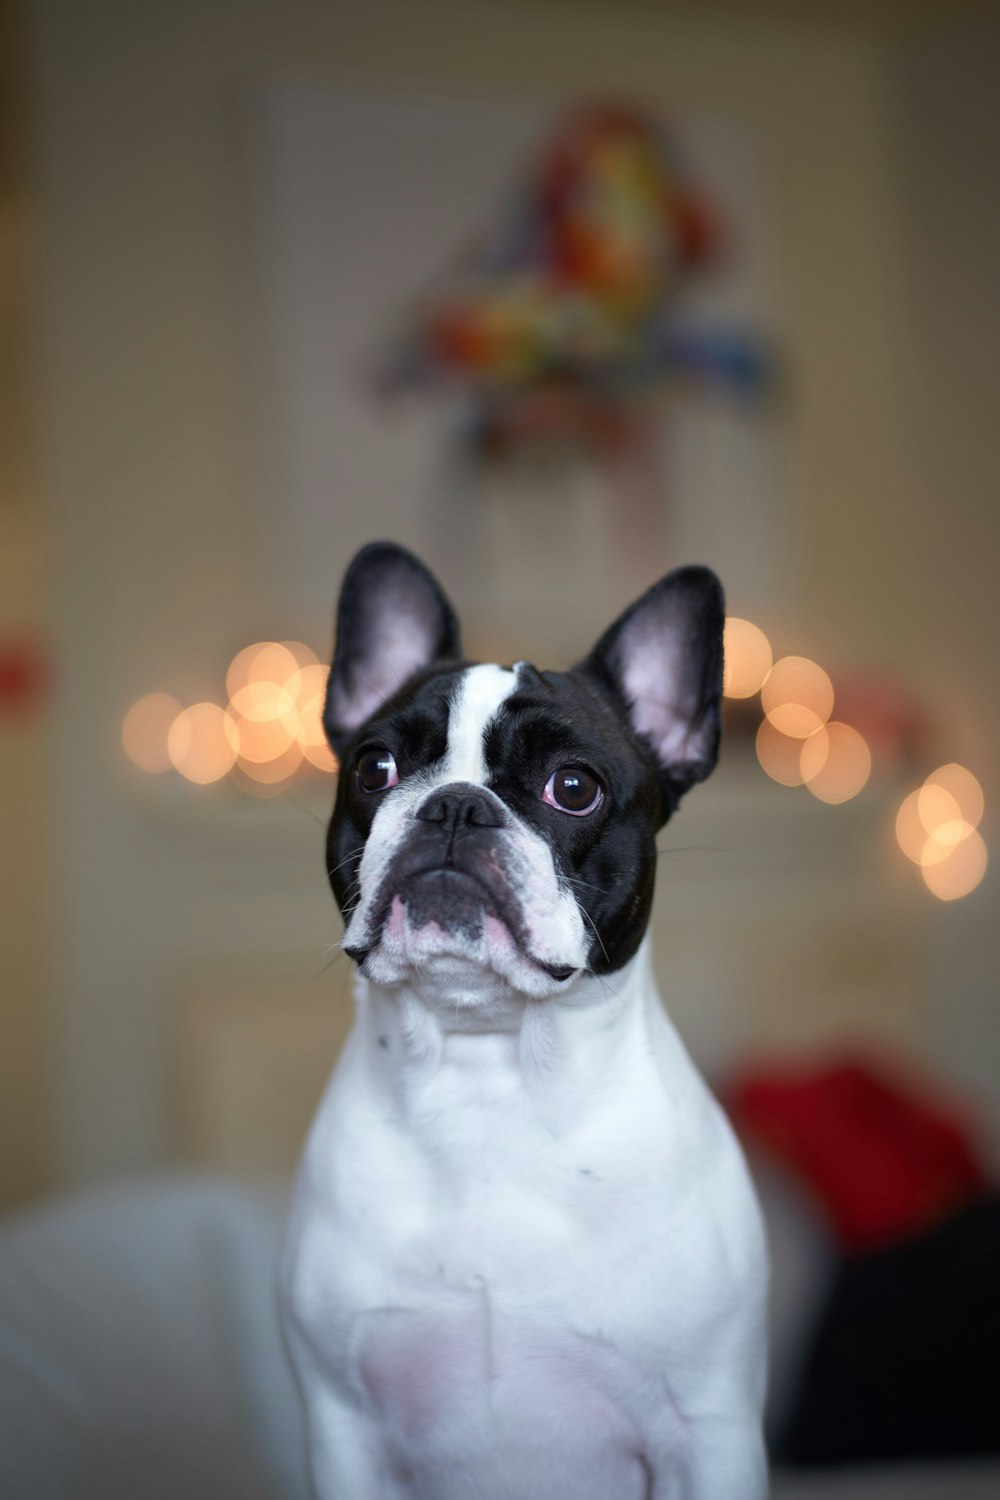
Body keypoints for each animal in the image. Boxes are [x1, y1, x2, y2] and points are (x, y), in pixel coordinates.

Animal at [281, 546, 767, 1500]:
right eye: (373, 768)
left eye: (573, 788)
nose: (455, 805)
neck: (489, 1072)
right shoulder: (340, 1425)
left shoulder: (711, 1431)